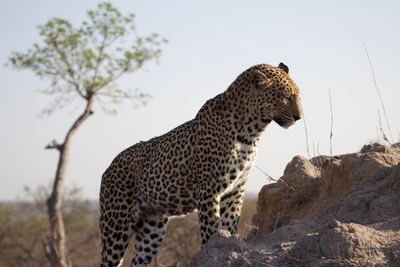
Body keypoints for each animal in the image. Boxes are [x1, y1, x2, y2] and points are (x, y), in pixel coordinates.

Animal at [100, 62, 304, 266]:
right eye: (285, 96)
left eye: (297, 95)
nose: (299, 117)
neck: (252, 132)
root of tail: (108, 168)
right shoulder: (209, 189)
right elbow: (210, 229)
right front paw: (210, 252)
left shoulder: (236, 188)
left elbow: (229, 224)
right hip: (116, 226)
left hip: (152, 229)